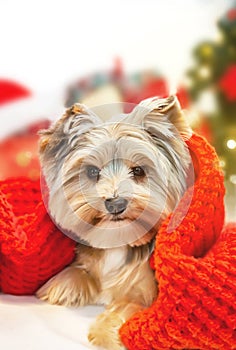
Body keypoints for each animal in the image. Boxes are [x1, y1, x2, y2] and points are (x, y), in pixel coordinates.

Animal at [36, 95, 192, 350]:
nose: (115, 203)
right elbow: (76, 273)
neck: (118, 239)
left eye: (138, 171)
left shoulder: (146, 292)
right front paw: (58, 287)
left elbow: (127, 306)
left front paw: (104, 333)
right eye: (92, 172)